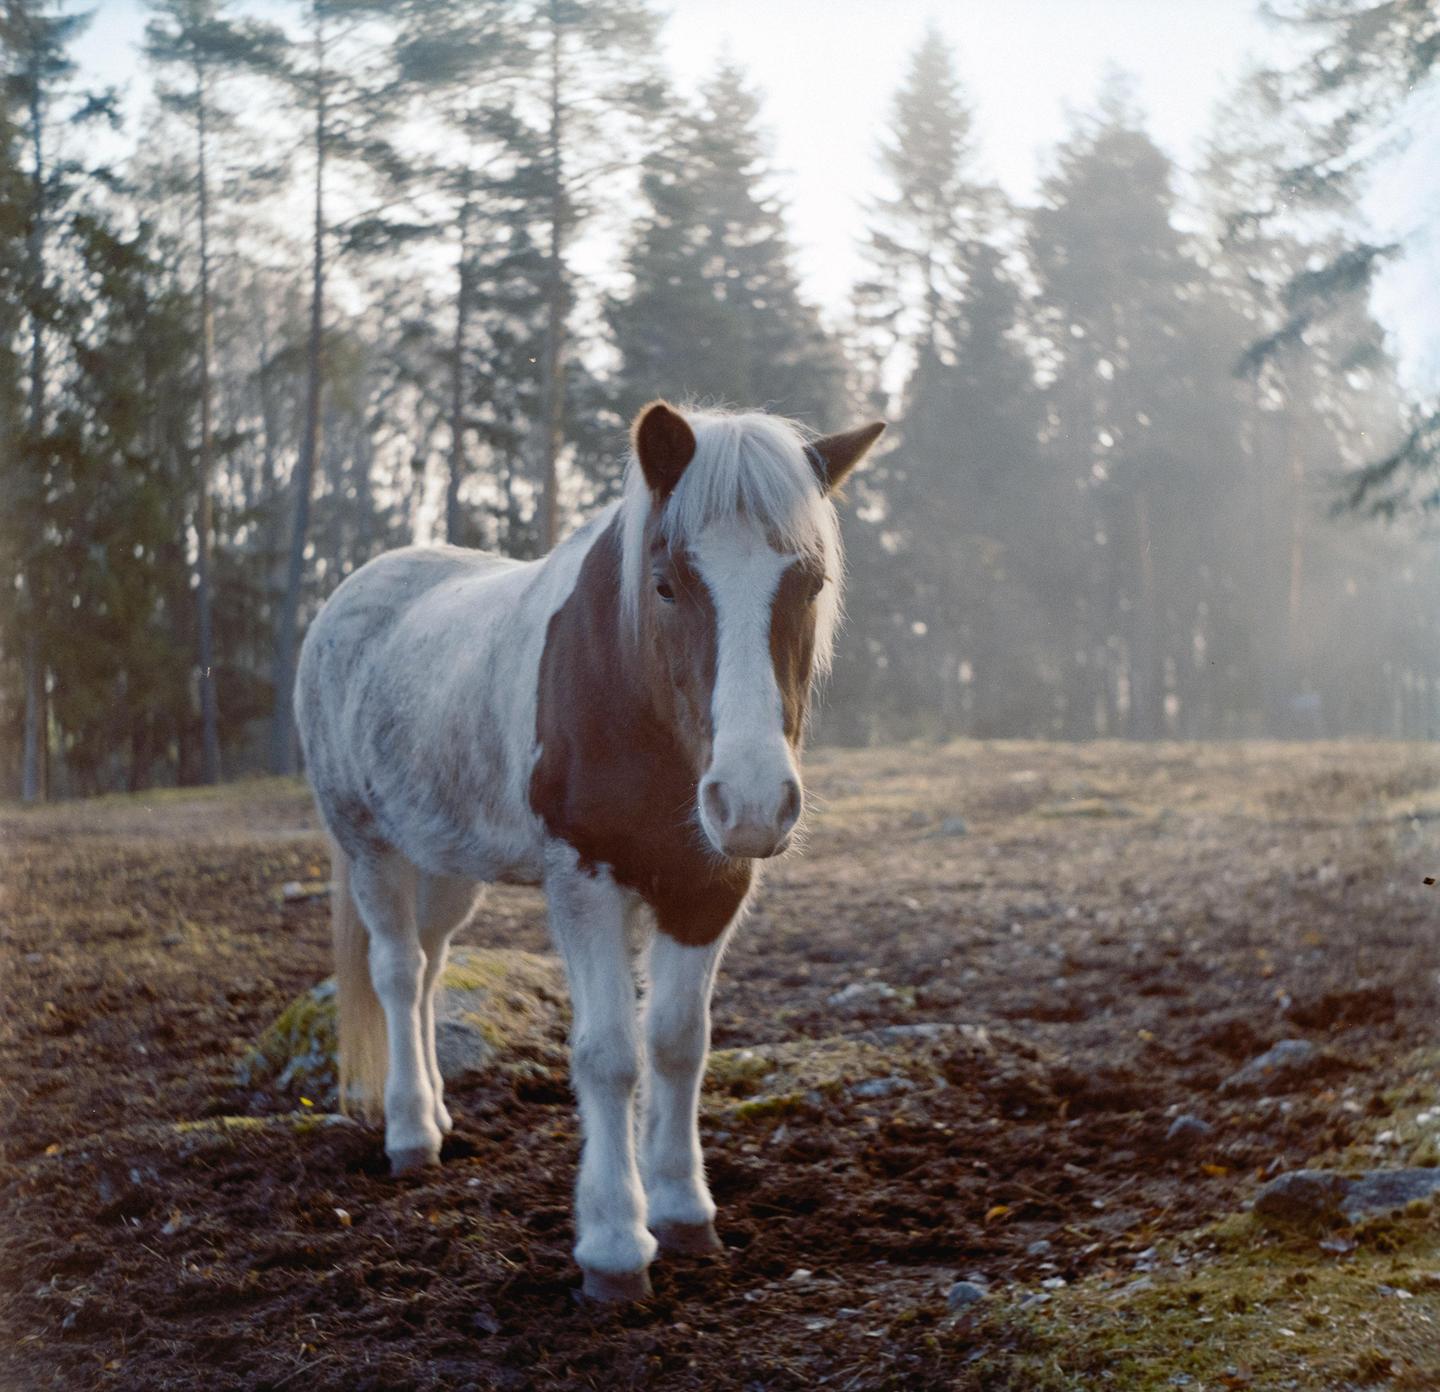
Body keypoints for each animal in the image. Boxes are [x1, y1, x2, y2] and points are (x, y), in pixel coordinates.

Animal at [294, 400, 885, 1302]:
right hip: (370, 845)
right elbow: (610, 1055)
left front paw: (682, 1212)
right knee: (396, 974)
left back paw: (438, 1115)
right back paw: (410, 1135)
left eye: (810, 581)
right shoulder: (585, 880)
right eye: (666, 583)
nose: (752, 800)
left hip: (446, 863)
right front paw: (613, 1249)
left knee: (429, 973)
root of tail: (353, 593)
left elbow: (678, 1042)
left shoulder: (708, 885)